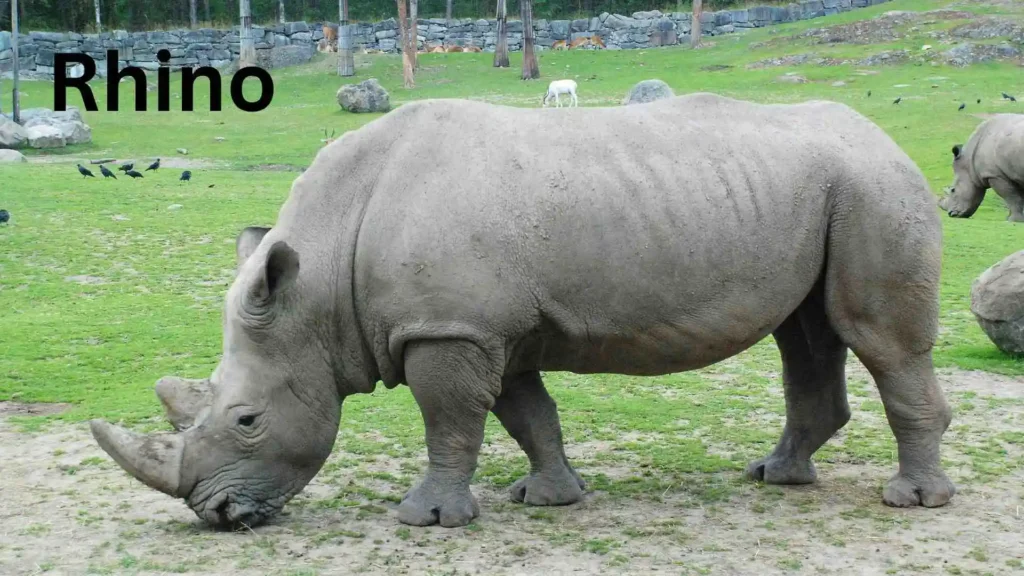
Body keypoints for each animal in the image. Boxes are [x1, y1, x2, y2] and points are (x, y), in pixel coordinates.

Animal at [90, 93, 956, 529]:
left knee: (878, 340)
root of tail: (884, 136)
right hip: (828, 189)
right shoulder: (483, 328)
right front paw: (549, 499)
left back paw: (912, 503)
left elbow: (449, 421)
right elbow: (524, 414)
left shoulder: (448, 327)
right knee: (805, 334)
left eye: (246, 421)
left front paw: (429, 520)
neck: (323, 280)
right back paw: (778, 477)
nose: (216, 514)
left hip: (876, 187)